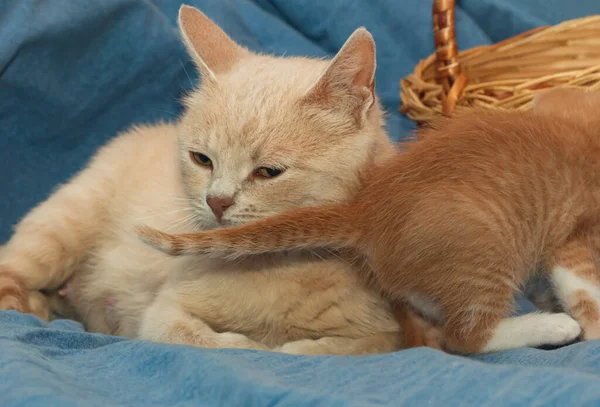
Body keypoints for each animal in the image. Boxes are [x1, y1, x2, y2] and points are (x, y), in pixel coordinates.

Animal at [0, 4, 440, 356]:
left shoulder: (388, 332)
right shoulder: (164, 312)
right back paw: (30, 305)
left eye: (268, 172)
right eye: (201, 159)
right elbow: (209, 340)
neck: (275, 270)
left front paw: (286, 343)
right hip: (60, 229)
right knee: (11, 271)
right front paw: (252, 343)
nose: (217, 201)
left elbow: (328, 348)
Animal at [138, 88, 600, 354]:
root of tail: (367, 208)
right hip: (485, 248)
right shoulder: (576, 240)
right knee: (465, 339)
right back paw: (550, 327)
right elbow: (586, 291)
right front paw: (587, 328)